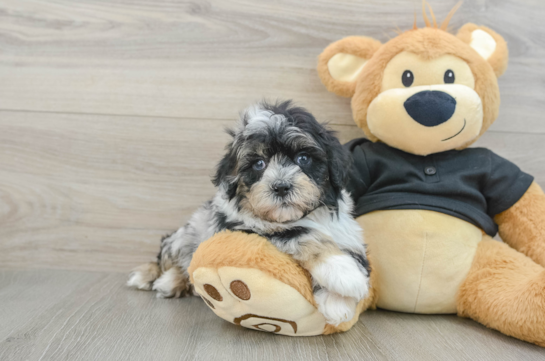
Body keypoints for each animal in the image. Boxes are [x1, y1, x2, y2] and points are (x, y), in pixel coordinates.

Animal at [129, 100, 370, 324]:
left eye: (303, 158)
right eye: (258, 164)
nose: (281, 187)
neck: (301, 216)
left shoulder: (346, 229)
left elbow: (355, 253)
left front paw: (337, 301)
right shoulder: (241, 230)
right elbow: (300, 233)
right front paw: (343, 273)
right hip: (185, 234)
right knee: (165, 258)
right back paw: (156, 278)